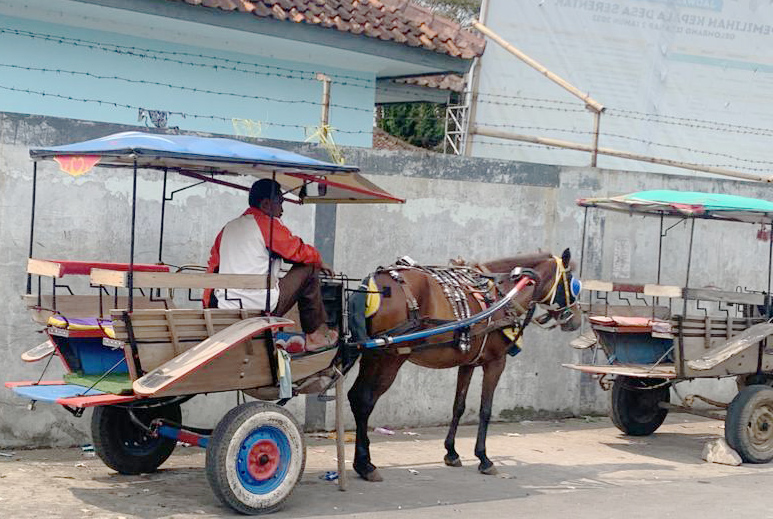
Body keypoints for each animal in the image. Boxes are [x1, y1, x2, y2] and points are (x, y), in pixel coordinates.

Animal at [348, 250, 580, 482]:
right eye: (572, 282)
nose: (577, 319)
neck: (503, 294)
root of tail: (372, 283)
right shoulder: (496, 362)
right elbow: (485, 409)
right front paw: (484, 458)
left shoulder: (468, 362)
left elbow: (458, 406)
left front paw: (451, 452)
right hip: (389, 358)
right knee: (365, 400)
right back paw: (365, 464)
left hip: (371, 356)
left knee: (355, 397)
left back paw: (362, 460)